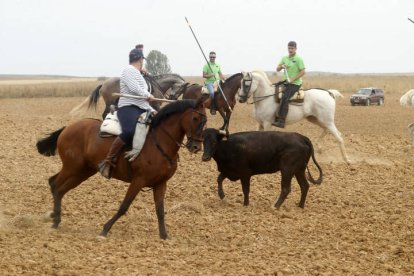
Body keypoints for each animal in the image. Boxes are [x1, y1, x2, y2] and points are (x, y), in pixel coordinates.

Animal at [36, 98, 207, 239]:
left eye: (205, 121)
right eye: (195, 118)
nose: (196, 147)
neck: (159, 142)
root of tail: (68, 128)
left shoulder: (160, 183)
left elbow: (160, 210)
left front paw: (164, 236)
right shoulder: (138, 181)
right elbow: (124, 206)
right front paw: (105, 230)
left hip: (82, 172)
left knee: (58, 187)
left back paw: (54, 217)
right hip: (72, 168)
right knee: (56, 186)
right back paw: (55, 219)